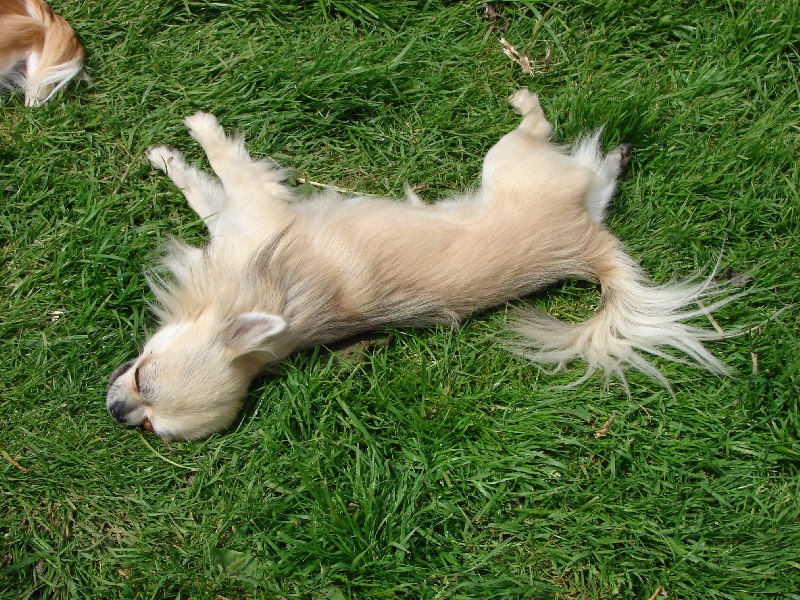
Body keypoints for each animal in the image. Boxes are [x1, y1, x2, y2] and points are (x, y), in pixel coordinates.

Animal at [106, 89, 733, 440]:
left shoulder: (256, 207)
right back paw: (616, 158)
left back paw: (526, 100)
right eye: (149, 427)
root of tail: (586, 246)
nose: (115, 411)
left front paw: (196, 131)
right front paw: (169, 159)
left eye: (142, 381)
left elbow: (220, 169)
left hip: (508, 161)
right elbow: (204, 193)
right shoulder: (232, 224)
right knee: (595, 181)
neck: (270, 304)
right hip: (563, 192)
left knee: (539, 129)